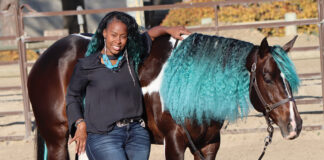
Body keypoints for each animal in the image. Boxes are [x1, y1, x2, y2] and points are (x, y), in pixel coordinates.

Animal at [28, 32, 304, 160]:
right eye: (267, 77)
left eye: (290, 79)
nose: (295, 125)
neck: (192, 86)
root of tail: (44, 59)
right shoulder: (174, 143)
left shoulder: (209, 145)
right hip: (56, 139)